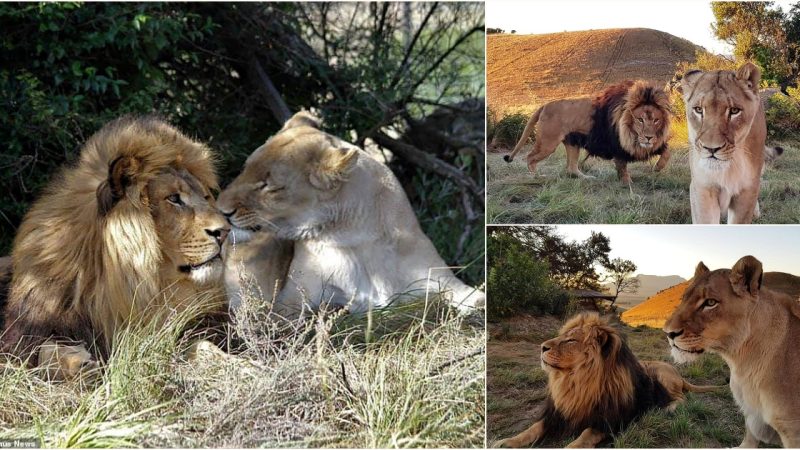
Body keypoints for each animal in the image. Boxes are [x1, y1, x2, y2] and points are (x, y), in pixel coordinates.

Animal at [0, 116, 228, 380]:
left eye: (206, 197)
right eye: (173, 198)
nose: (225, 231)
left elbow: (203, 345)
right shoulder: (23, 337)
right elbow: (46, 351)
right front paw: (79, 364)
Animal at [216, 111, 484, 318]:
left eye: (268, 186)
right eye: (245, 168)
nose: (220, 209)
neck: (355, 238)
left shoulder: (442, 279)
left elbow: (476, 298)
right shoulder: (290, 300)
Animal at [494, 312, 720, 446]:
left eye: (570, 340)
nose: (542, 347)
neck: (577, 382)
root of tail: (679, 374)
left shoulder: (610, 420)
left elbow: (585, 434)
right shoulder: (557, 413)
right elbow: (533, 428)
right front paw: (507, 442)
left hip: (660, 373)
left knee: (682, 397)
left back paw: (668, 408)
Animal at [504, 80, 672, 184]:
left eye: (656, 120)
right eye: (640, 119)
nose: (649, 137)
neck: (631, 135)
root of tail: (545, 105)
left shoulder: (650, 144)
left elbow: (667, 152)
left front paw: (658, 167)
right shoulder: (617, 144)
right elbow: (622, 165)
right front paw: (627, 183)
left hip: (572, 143)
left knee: (571, 168)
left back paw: (587, 178)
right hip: (548, 143)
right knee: (529, 157)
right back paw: (537, 176)